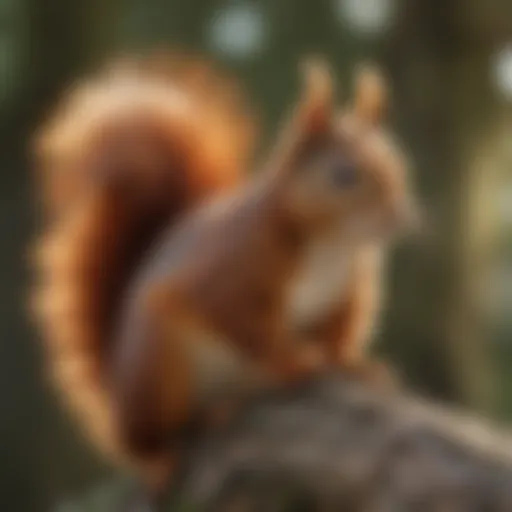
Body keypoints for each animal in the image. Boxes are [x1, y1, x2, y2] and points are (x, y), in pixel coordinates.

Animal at [30, 52, 418, 488]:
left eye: (399, 165)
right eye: (344, 175)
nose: (399, 218)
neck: (333, 244)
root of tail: (116, 392)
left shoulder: (345, 293)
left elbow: (338, 334)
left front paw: (354, 365)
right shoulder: (233, 271)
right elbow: (246, 323)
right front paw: (295, 362)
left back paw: (227, 407)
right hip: (157, 368)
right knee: (146, 439)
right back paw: (160, 456)